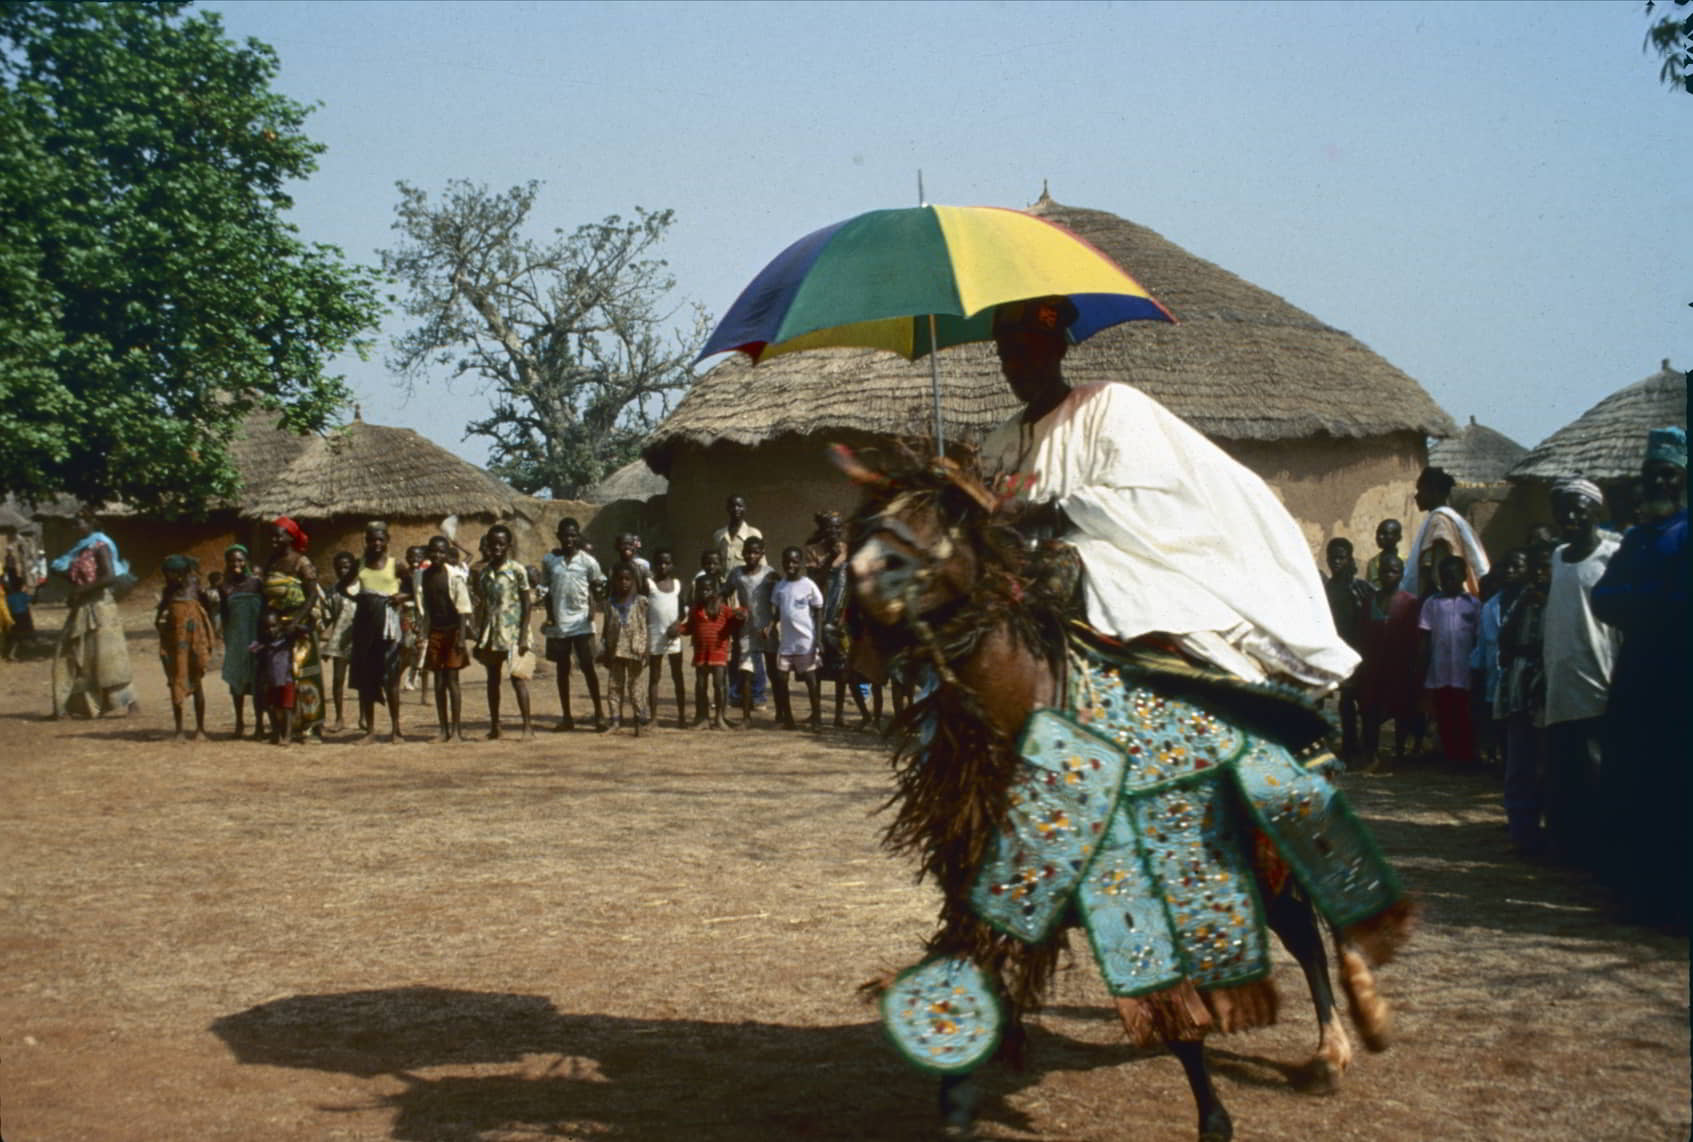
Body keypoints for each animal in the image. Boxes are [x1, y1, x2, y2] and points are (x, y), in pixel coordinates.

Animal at [839, 450, 1408, 1136]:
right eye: (876, 514)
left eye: (944, 515)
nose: (864, 575)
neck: (1030, 707)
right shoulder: (980, 870)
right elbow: (970, 960)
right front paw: (955, 1101)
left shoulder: (1140, 880)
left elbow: (1172, 1006)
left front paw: (1214, 1119)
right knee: (1297, 930)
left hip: (1271, 841)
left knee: (1305, 936)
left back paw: (1333, 1050)